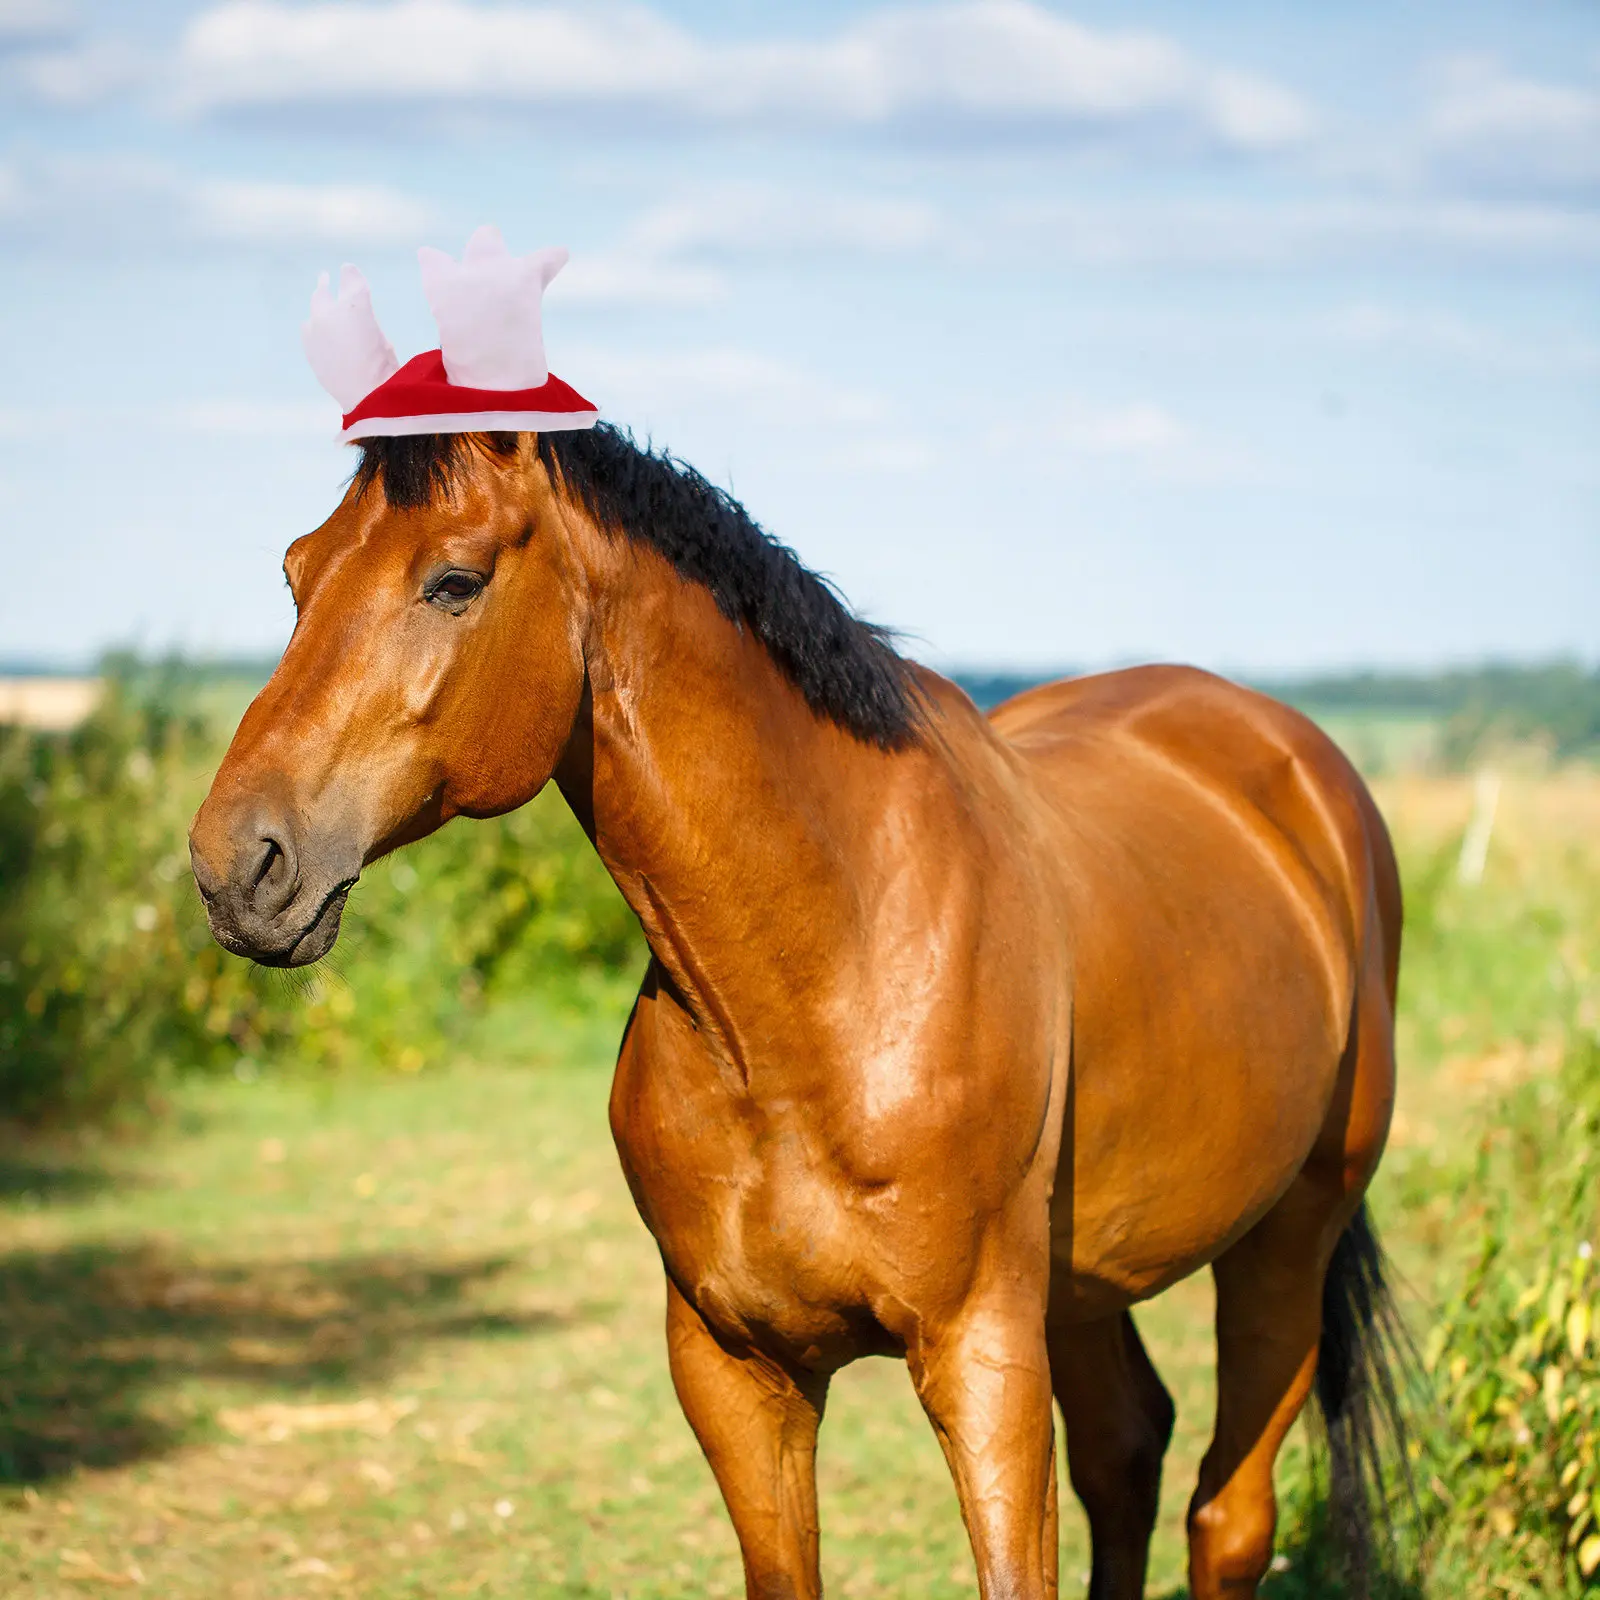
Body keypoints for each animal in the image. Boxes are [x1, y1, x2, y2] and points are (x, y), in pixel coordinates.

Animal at [189, 425, 1412, 1600]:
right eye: (297, 573)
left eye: (454, 580)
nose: (235, 865)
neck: (820, 985)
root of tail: (1298, 766)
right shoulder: (735, 1367)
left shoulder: (981, 1352)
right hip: (1085, 1286)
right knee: (1127, 1455)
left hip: (1286, 1239)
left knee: (1227, 1517)